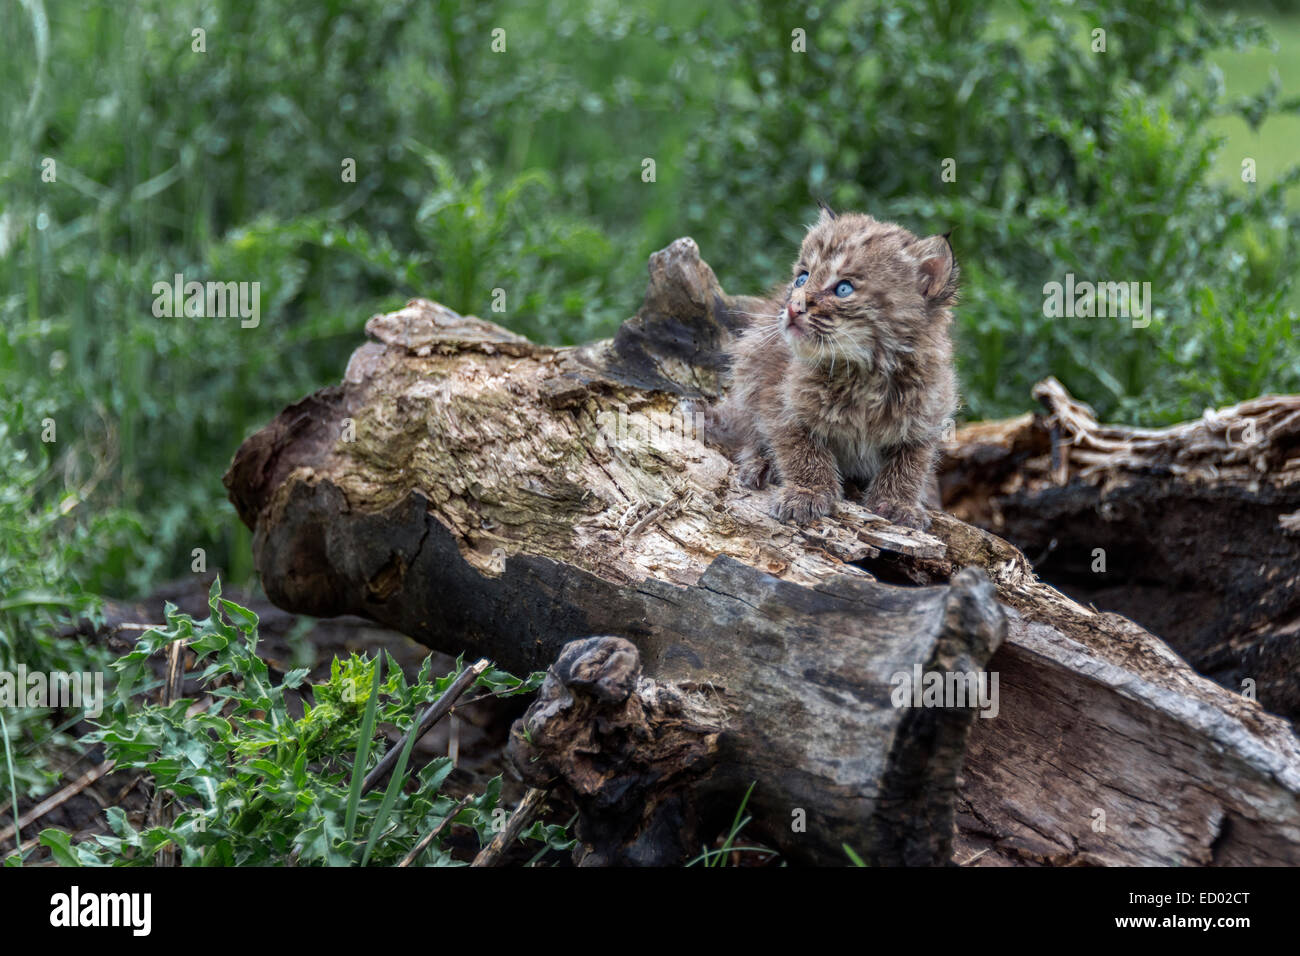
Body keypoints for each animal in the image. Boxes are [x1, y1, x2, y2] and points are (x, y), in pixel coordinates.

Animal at [722, 205, 956, 530]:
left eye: (843, 288)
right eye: (802, 278)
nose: (793, 307)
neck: (866, 371)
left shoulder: (928, 413)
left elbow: (912, 461)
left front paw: (899, 503)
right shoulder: (780, 398)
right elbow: (801, 447)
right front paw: (807, 492)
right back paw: (759, 464)